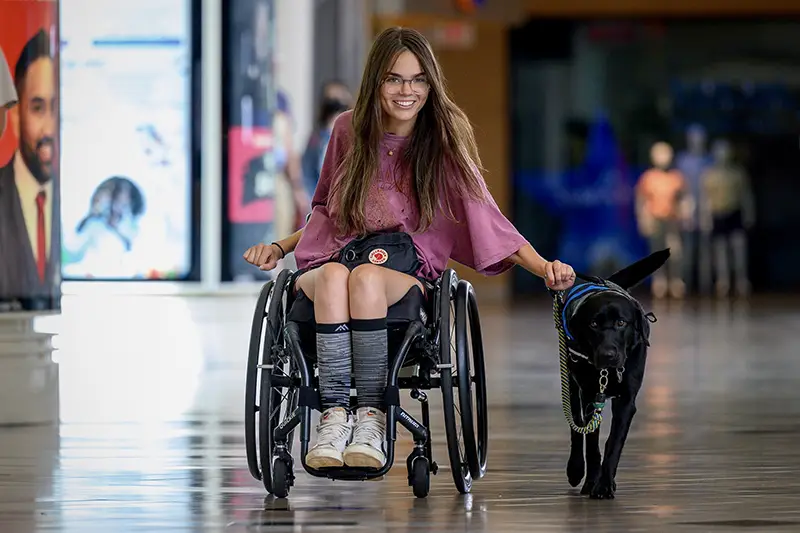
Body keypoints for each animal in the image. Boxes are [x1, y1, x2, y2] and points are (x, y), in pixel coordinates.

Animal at [564, 248, 668, 498]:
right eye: (593, 324)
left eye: (621, 323)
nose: (608, 354)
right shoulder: (590, 396)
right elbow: (591, 442)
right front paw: (592, 481)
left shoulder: (626, 401)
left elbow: (614, 442)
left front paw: (604, 484)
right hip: (572, 383)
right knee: (575, 427)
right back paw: (575, 470)